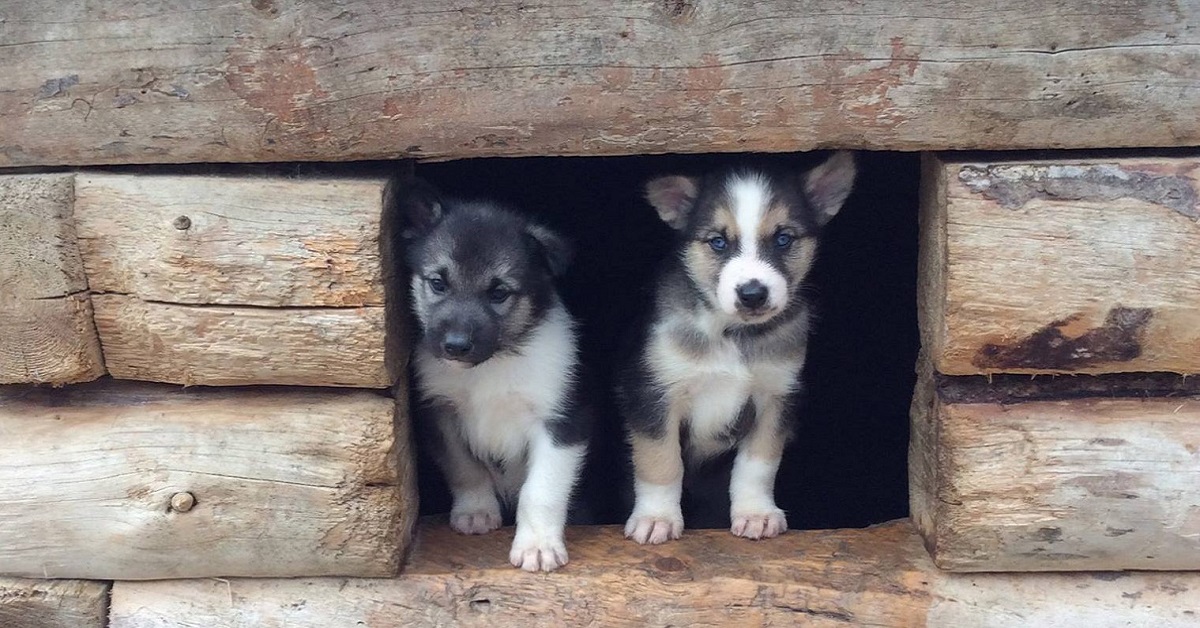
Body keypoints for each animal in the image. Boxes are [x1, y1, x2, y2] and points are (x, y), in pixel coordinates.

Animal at [391, 176, 592, 569]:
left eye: (499, 292)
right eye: (438, 283)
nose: (455, 346)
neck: (492, 364)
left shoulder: (563, 423)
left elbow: (541, 489)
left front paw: (537, 545)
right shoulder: (441, 413)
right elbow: (464, 468)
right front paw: (476, 512)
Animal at [614, 152, 859, 545]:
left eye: (783, 239)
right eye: (718, 242)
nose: (753, 294)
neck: (734, 334)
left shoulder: (777, 397)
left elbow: (758, 464)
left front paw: (756, 514)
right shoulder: (652, 394)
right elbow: (661, 462)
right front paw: (657, 519)